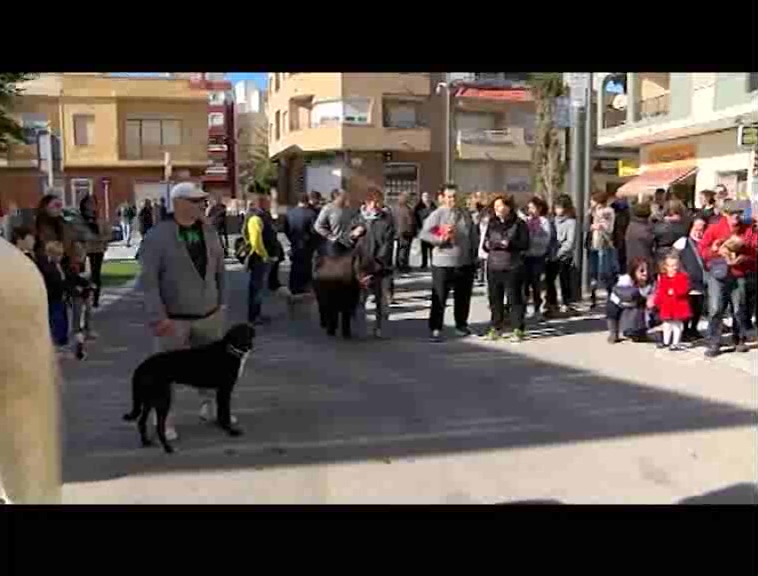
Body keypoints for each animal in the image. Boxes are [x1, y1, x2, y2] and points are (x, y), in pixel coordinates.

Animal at [123, 322, 256, 452]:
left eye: (248, 333)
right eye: (239, 334)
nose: (249, 345)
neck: (229, 349)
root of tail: (141, 367)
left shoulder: (219, 391)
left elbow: (220, 412)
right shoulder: (225, 390)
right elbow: (225, 413)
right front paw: (231, 431)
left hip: (149, 399)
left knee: (141, 422)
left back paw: (146, 442)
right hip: (162, 399)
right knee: (159, 426)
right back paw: (168, 448)